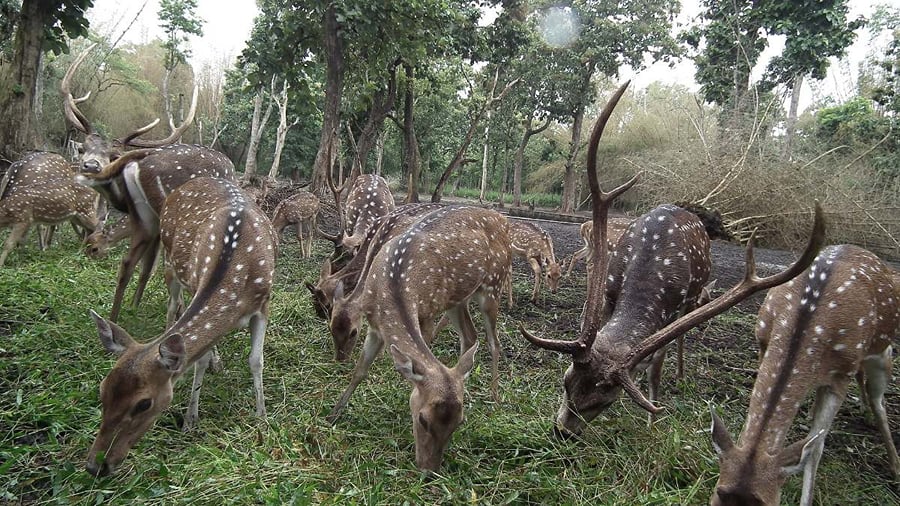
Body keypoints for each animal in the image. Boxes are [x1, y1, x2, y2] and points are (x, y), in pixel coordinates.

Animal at [84, 176, 276, 477]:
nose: (95, 465)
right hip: (171, 262)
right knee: (173, 305)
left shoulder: (264, 304)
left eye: (143, 403)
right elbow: (199, 359)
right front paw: (190, 420)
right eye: (102, 390)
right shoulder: (196, 282)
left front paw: (262, 417)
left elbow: (256, 360)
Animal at [325, 205, 511, 472]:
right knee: (470, 337)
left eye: (459, 423)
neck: (392, 284)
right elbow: (360, 371)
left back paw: (495, 398)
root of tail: (504, 221)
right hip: (457, 298)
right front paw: (332, 415)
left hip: (493, 286)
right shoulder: (376, 327)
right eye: (423, 420)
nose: (429, 470)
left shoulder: (427, 313)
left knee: (494, 342)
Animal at [518, 81, 826, 438]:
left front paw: (653, 419)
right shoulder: (609, 290)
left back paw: (678, 373)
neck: (648, 272)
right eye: (566, 381)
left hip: (692, 299)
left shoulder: (674, 310)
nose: (563, 431)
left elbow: (656, 367)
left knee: (680, 341)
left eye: (605, 400)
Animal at [709, 244, 899, 506]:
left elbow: (815, 448)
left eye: (766, 502)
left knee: (879, 401)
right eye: (717, 494)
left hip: (881, 352)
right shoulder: (763, 343)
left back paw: (894, 464)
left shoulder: (842, 374)